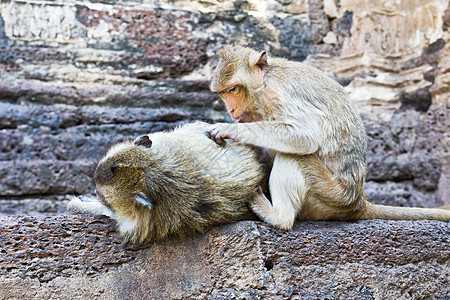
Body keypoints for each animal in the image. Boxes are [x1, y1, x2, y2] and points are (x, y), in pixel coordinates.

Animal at [207, 44, 450, 229]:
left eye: (233, 89)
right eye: (223, 94)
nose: (231, 110)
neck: (264, 83)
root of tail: (357, 200)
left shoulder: (280, 94)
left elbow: (305, 136)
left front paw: (230, 130)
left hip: (330, 195)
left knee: (295, 156)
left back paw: (278, 217)